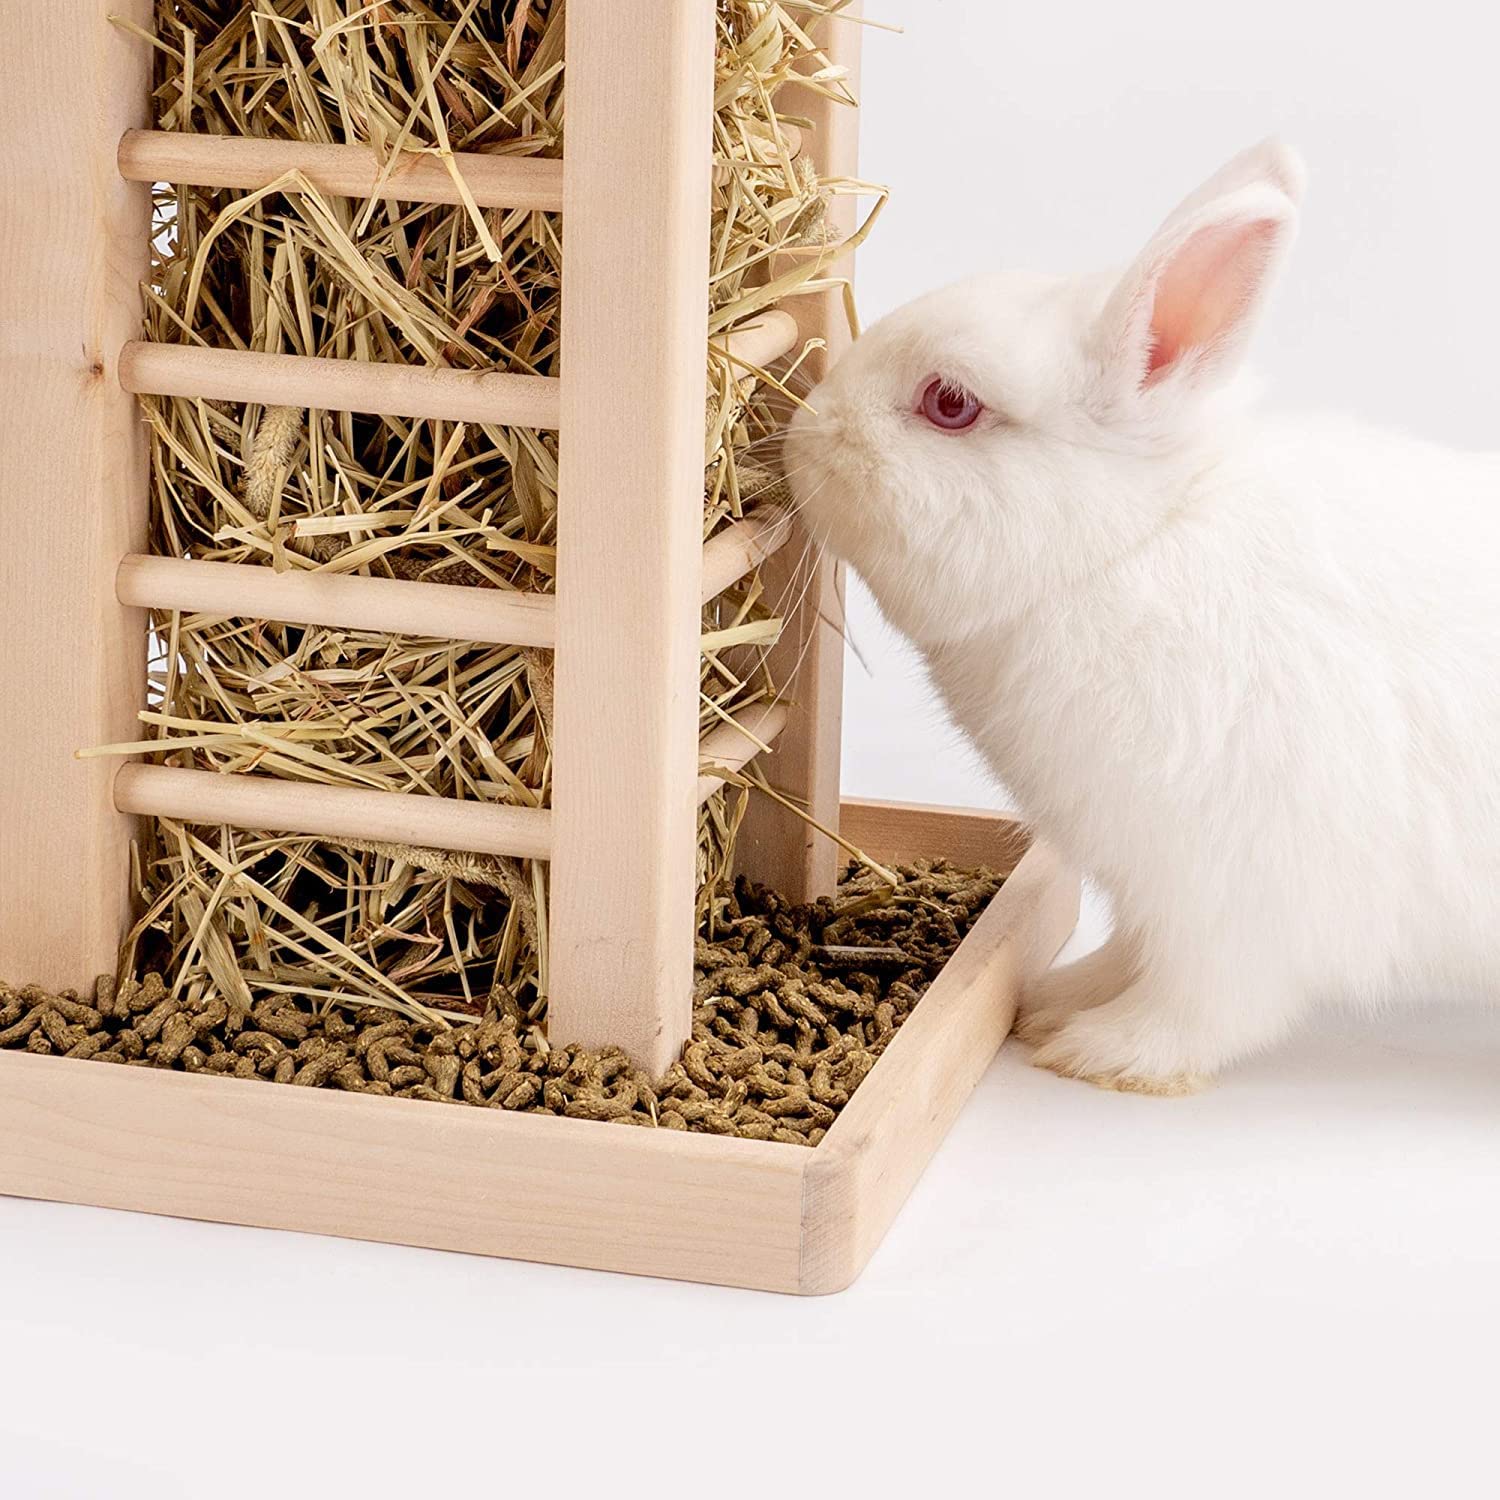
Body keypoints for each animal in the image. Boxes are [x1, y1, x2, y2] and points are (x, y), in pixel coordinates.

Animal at [783, 139, 1500, 1094]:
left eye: (951, 403)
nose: (801, 432)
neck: (1126, 547)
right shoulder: (1144, 886)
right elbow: (1129, 951)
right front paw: (1055, 1000)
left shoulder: (1230, 899)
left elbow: (1203, 1005)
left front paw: (1102, 1051)